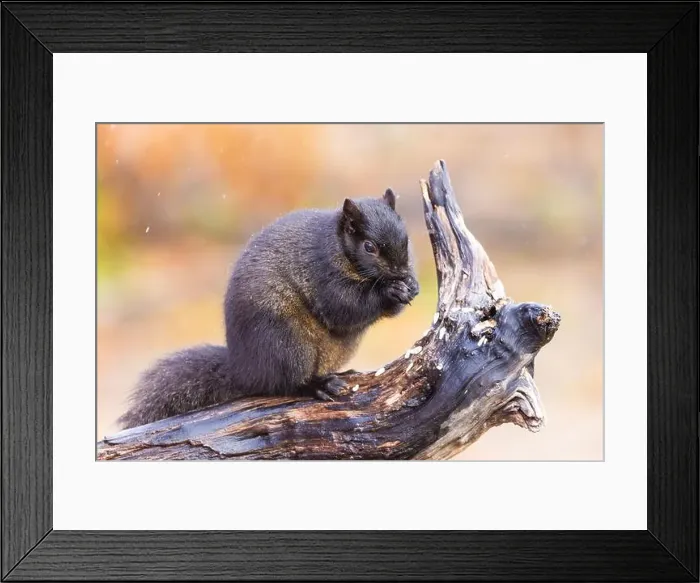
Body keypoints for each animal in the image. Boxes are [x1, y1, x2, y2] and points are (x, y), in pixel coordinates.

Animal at [117, 188, 420, 429]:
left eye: (406, 238)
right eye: (369, 247)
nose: (401, 271)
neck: (341, 249)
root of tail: (245, 370)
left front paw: (410, 286)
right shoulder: (323, 272)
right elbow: (344, 306)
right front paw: (389, 291)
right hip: (287, 342)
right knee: (285, 384)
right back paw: (318, 386)